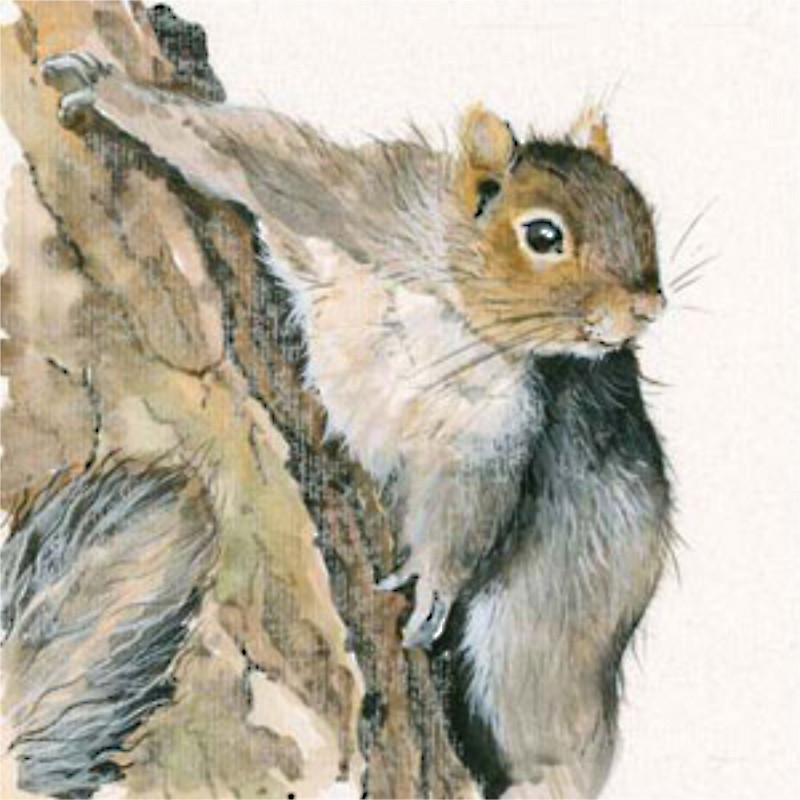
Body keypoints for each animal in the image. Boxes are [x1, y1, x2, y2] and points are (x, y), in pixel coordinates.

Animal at [39, 51, 674, 799]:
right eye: (543, 235)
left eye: (642, 210)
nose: (648, 307)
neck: (452, 302)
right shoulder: (354, 200)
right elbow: (236, 148)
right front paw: (105, 90)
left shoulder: (495, 416)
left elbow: (471, 501)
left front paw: (434, 584)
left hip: (547, 620)